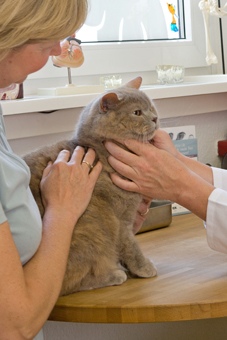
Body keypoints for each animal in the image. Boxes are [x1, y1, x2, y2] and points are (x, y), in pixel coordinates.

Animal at [22, 76, 158, 294]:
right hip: (92, 231)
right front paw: (143, 267)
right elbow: (130, 246)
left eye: (151, 107)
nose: (155, 118)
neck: (102, 152)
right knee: (70, 284)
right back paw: (113, 275)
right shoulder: (121, 220)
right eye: (137, 112)